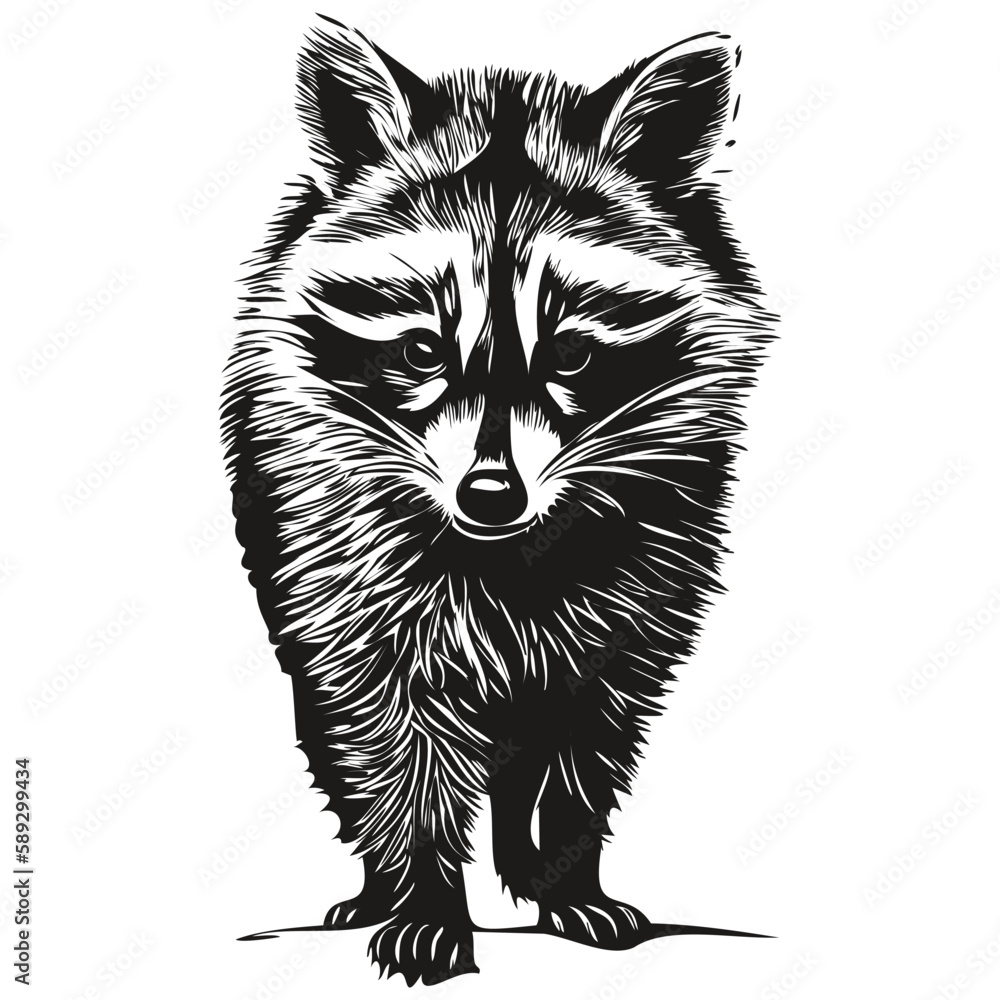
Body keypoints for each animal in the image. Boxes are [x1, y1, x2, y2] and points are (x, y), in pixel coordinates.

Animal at [222, 16, 775, 986]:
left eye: (572, 356)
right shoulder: (347, 575)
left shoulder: (640, 589)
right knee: (341, 745)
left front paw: (569, 879)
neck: (504, 552)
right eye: (420, 351)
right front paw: (425, 898)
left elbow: (588, 744)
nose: (489, 494)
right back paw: (379, 886)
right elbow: (391, 749)